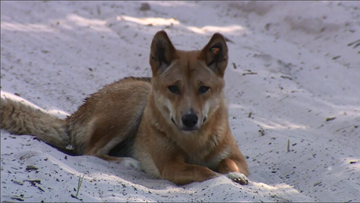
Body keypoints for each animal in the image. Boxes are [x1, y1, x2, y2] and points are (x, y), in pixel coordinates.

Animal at [0, 30, 249, 186]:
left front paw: (234, 176)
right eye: (174, 88)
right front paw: (224, 178)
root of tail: (77, 113)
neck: (195, 141)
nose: (189, 119)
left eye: (203, 88)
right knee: (90, 152)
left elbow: (226, 163)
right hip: (136, 101)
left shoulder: (239, 159)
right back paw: (128, 161)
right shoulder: (170, 166)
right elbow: (204, 171)